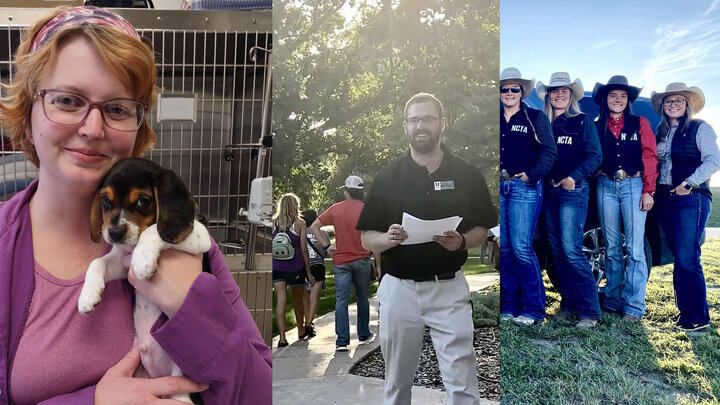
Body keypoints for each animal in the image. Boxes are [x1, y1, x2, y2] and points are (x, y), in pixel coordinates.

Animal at [80, 157, 214, 400]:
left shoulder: (199, 236)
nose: (114, 233)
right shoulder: (121, 261)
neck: (131, 247)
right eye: (106, 200)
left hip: (180, 388)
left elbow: (154, 231)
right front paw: (88, 296)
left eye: (143, 202)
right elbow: (97, 263)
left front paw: (143, 261)